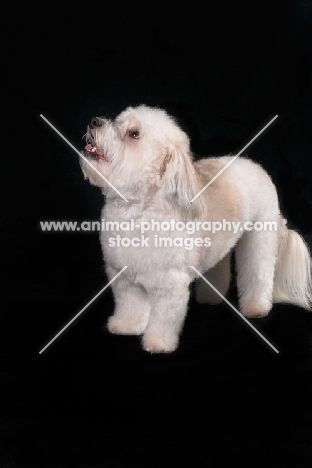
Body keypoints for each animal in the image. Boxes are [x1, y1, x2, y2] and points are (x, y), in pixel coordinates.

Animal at [81, 104, 312, 352]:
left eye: (134, 134)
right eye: (118, 121)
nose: (94, 121)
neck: (139, 208)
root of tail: (254, 165)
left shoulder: (170, 284)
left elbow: (164, 317)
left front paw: (158, 342)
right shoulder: (124, 277)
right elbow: (130, 304)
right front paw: (126, 326)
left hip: (260, 237)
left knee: (258, 272)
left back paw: (256, 307)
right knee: (219, 265)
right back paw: (211, 296)